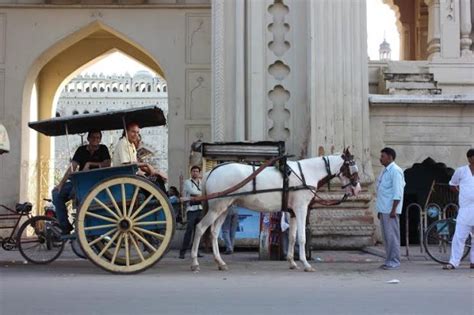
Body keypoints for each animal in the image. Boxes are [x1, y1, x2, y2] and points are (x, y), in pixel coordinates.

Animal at [189, 149, 360, 272]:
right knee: (200, 228)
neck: (307, 173)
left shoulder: (292, 212)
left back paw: (220, 262)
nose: (357, 188)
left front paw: (292, 262)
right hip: (217, 207)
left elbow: (292, 237)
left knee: (214, 232)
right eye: (351, 166)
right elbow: (302, 238)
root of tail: (211, 171)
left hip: (223, 208)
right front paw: (306, 264)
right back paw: (195, 262)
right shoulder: (301, 208)